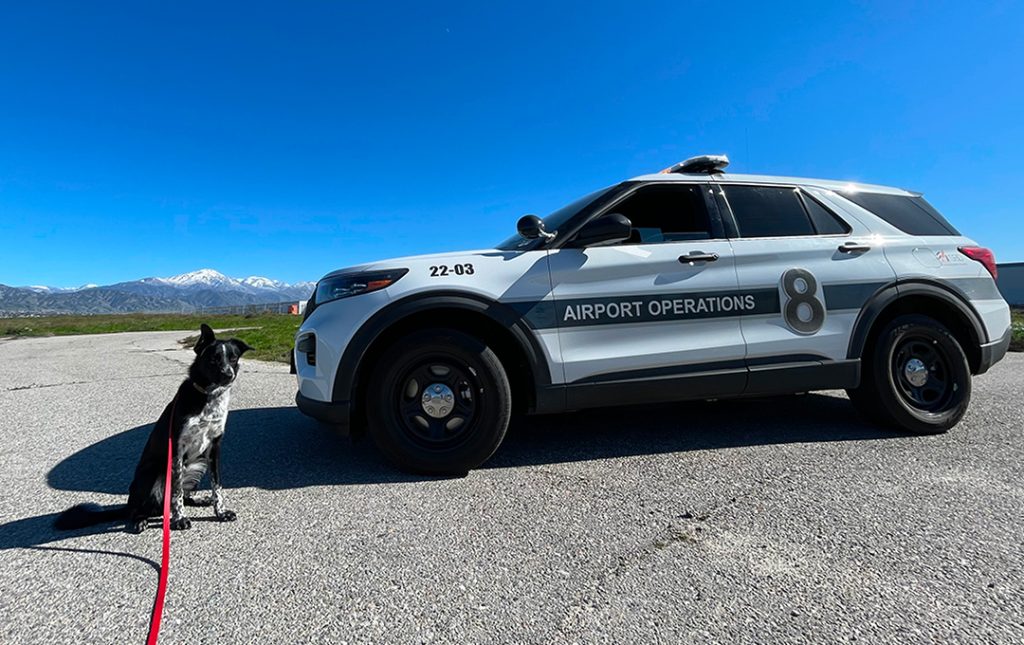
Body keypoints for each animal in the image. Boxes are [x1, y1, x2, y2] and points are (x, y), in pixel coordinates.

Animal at [55, 327, 251, 536]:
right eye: (213, 359)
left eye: (233, 358)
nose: (228, 375)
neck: (208, 396)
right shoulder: (177, 450)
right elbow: (176, 492)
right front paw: (179, 519)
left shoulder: (214, 449)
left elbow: (217, 486)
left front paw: (220, 512)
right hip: (150, 474)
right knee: (138, 510)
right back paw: (139, 520)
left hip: (198, 464)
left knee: (181, 497)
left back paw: (197, 500)